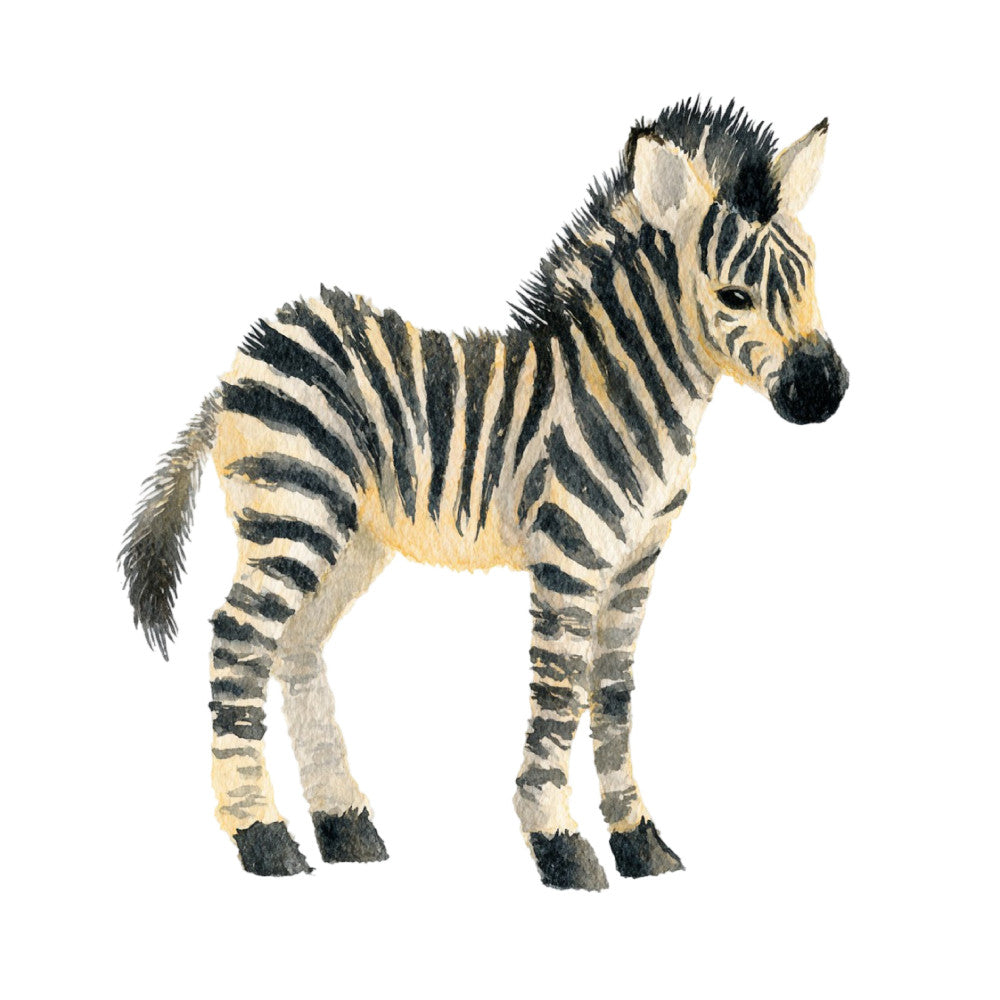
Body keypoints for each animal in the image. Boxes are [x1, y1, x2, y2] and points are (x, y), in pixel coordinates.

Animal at [121, 98, 848, 890]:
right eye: (733, 296)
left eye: (811, 273)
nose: (825, 390)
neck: (625, 388)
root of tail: (239, 362)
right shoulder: (571, 550)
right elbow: (561, 686)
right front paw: (560, 843)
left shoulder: (636, 562)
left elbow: (614, 692)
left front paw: (640, 841)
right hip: (295, 509)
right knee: (239, 639)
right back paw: (263, 837)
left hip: (350, 535)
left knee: (297, 645)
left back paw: (345, 826)